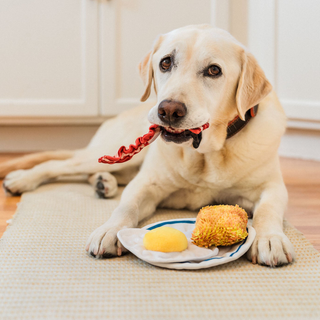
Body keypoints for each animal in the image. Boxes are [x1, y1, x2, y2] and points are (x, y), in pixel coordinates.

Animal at [0, 25, 296, 266]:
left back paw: (102, 183)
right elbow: (126, 206)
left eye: (214, 70)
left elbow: (268, 210)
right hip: (116, 154)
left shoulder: (272, 187)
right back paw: (22, 179)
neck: (206, 154)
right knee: (57, 164)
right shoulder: (147, 183)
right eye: (165, 63)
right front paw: (109, 230)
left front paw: (270, 239)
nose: (169, 111)